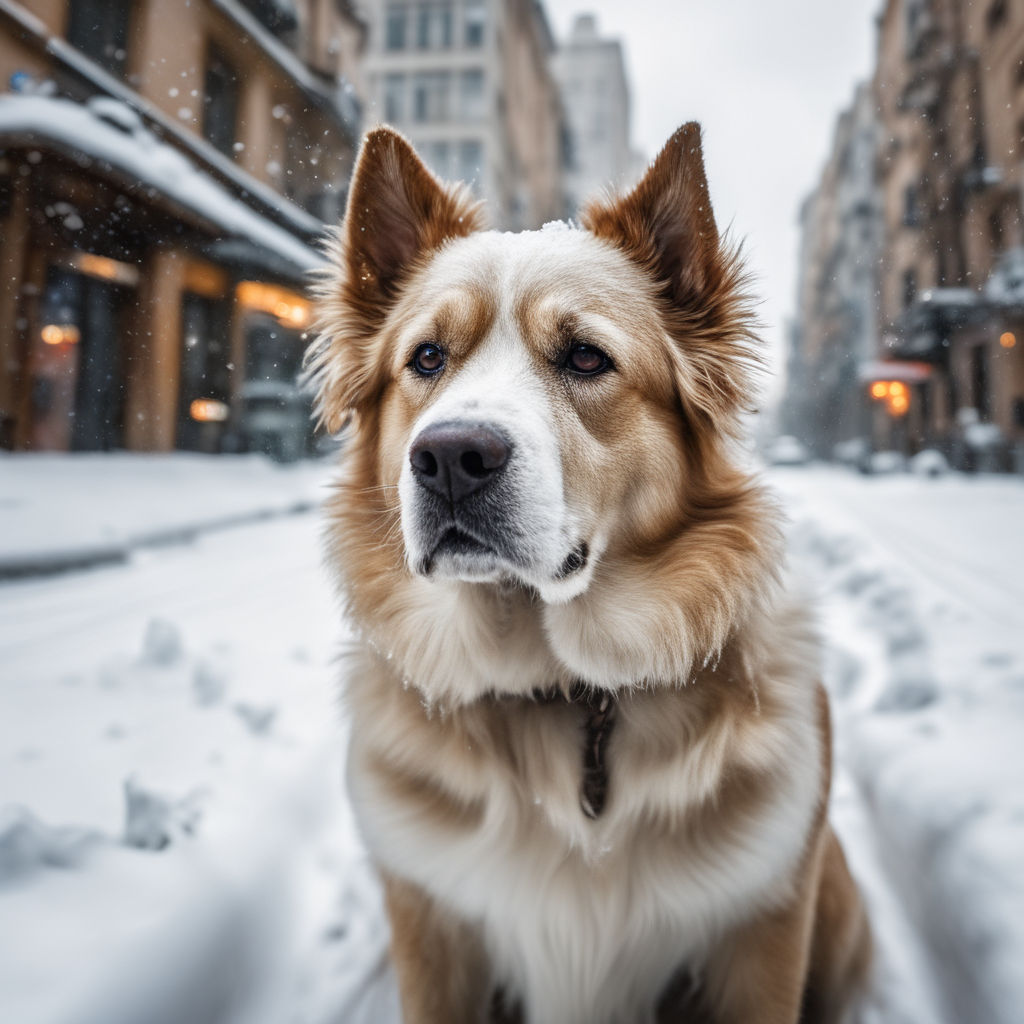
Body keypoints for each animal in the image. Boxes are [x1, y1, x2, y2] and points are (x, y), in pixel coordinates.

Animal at [305, 121, 872, 1024]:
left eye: (584, 357)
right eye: (426, 358)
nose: (450, 460)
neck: (563, 692)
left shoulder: (766, 927)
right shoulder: (430, 926)